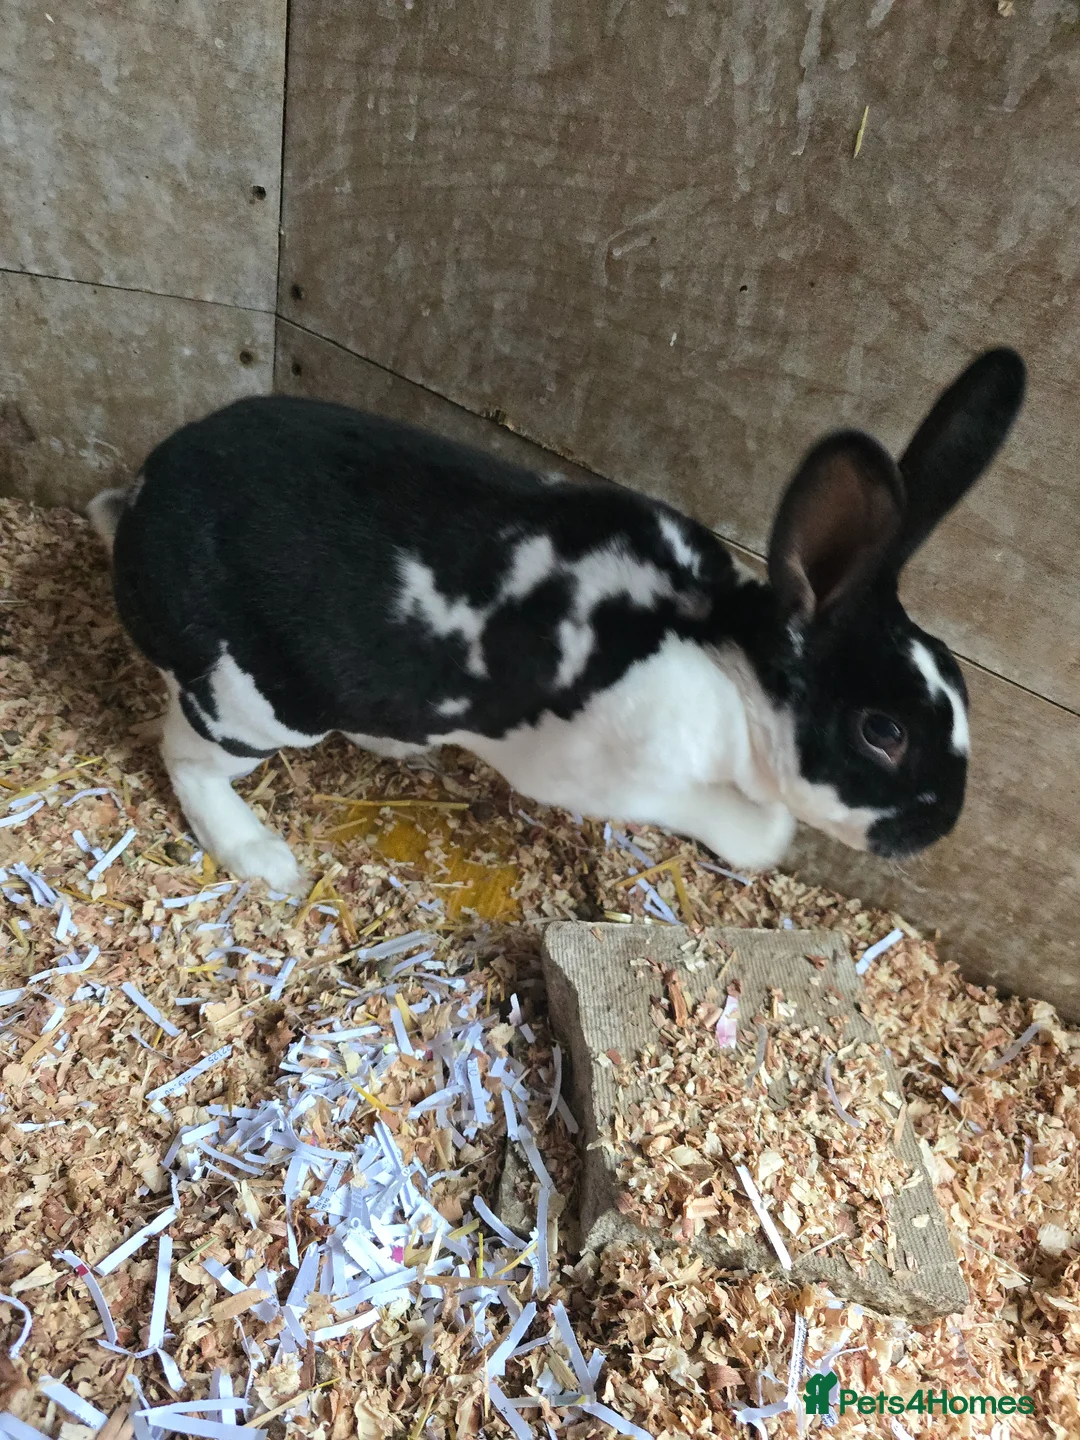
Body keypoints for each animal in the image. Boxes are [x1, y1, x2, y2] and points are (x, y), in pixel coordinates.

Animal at [86, 347, 1024, 895]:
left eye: (963, 691)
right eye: (882, 732)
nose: (937, 826)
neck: (727, 660)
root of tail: (139, 505)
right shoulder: (618, 778)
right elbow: (756, 831)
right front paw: (766, 837)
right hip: (249, 703)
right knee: (189, 763)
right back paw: (261, 860)